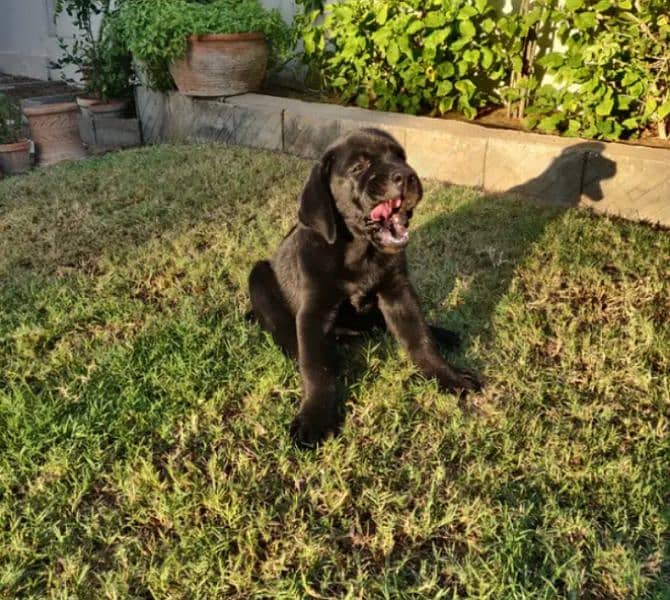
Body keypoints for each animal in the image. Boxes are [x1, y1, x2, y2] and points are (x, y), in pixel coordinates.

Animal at [249, 127, 480, 446]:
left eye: (400, 157)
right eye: (358, 168)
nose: (405, 176)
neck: (360, 252)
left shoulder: (399, 295)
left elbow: (420, 338)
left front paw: (447, 375)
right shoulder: (313, 312)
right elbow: (316, 368)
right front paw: (315, 418)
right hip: (258, 277)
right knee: (288, 335)